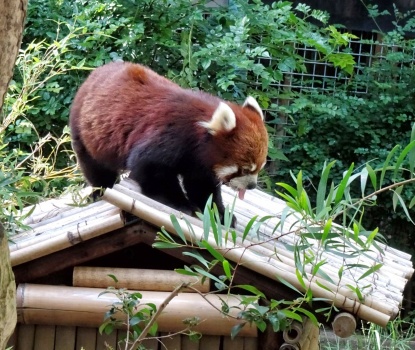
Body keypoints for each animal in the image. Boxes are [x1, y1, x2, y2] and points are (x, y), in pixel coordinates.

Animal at [70, 61, 268, 223]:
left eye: (259, 167)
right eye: (245, 169)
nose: (251, 186)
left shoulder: (198, 162)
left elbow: (201, 186)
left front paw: (219, 214)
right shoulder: (169, 135)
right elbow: (150, 169)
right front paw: (182, 204)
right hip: (85, 131)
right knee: (96, 168)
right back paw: (99, 191)